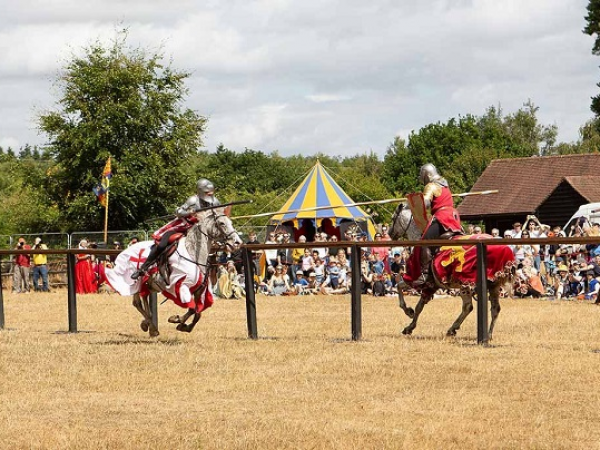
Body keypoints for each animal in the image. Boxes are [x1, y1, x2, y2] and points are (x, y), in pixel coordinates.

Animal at [105, 207, 241, 334]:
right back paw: (151, 327)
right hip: (137, 283)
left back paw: (149, 325)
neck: (193, 254)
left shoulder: (199, 290)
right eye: (222, 223)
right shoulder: (180, 286)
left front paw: (184, 326)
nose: (237, 242)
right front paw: (177, 320)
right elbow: (192, 308)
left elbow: (197, 312)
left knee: (145, 298)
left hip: (149, 284)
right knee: (137, 302)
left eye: (230, 222)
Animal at [390, 202, 516, 340]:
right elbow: (420, 306)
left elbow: (400, 288)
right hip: (493, 285)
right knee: (494, 309)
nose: (390, 234)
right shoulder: (432, 285)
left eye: (393, 218)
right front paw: (410, 325)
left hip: (466, 284)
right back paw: (487, 334)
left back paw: (454, 329)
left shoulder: (417, 279)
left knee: (468, 306)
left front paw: (409, 315)